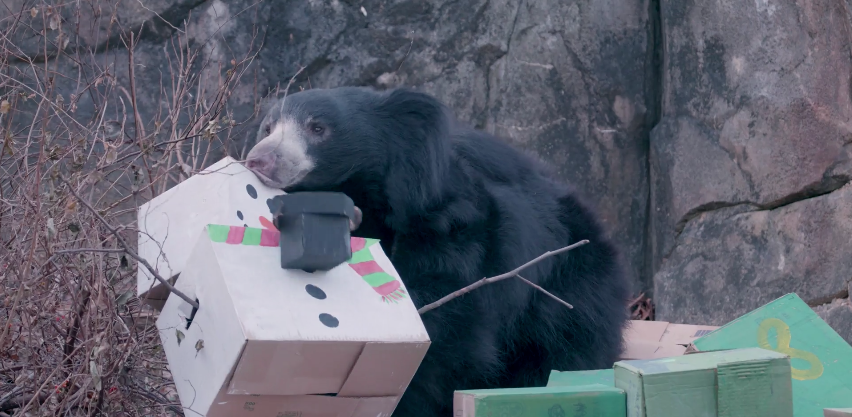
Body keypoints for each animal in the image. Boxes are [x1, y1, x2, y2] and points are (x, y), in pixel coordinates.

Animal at [243, 86, 628, 414]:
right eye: (267, 128)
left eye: (318, 128)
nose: (258, 160)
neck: (360, 198)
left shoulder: (447, 227)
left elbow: (448, 321)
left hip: (567, 287)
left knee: (566, 349)